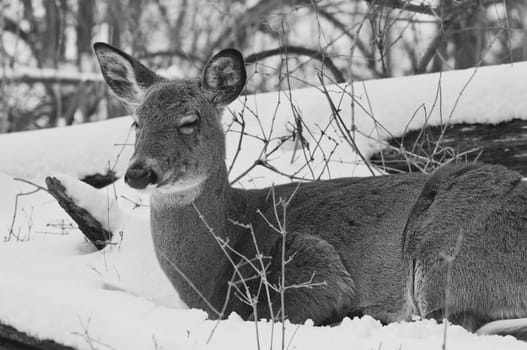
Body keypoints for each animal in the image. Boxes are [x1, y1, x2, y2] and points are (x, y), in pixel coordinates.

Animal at [93, 41, 527, 340]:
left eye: (189, 121)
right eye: (136, 122)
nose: (138, 172)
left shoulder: (310, 263)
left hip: (444, 245)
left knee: (455, 319)